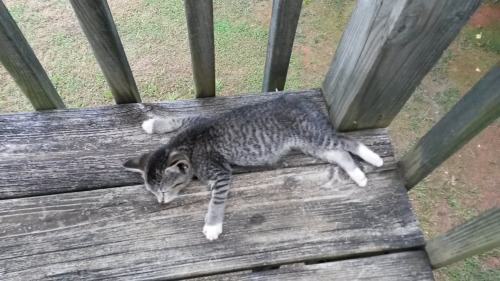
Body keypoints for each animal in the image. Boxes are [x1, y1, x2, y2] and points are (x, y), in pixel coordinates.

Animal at [123, 95, 380, 240]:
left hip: (313, 135)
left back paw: (374, 158)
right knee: (339, 152)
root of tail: (303, 101)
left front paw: (213, 225)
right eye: (153, 193)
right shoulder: (193, 119)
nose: (160, 202)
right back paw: (358, 175)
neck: (188, 143)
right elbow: (176, 119)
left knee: (347, 141)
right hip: (309, 144)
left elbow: (217, 200)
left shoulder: (221, 172)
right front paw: (153, 124)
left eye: (164, 190)